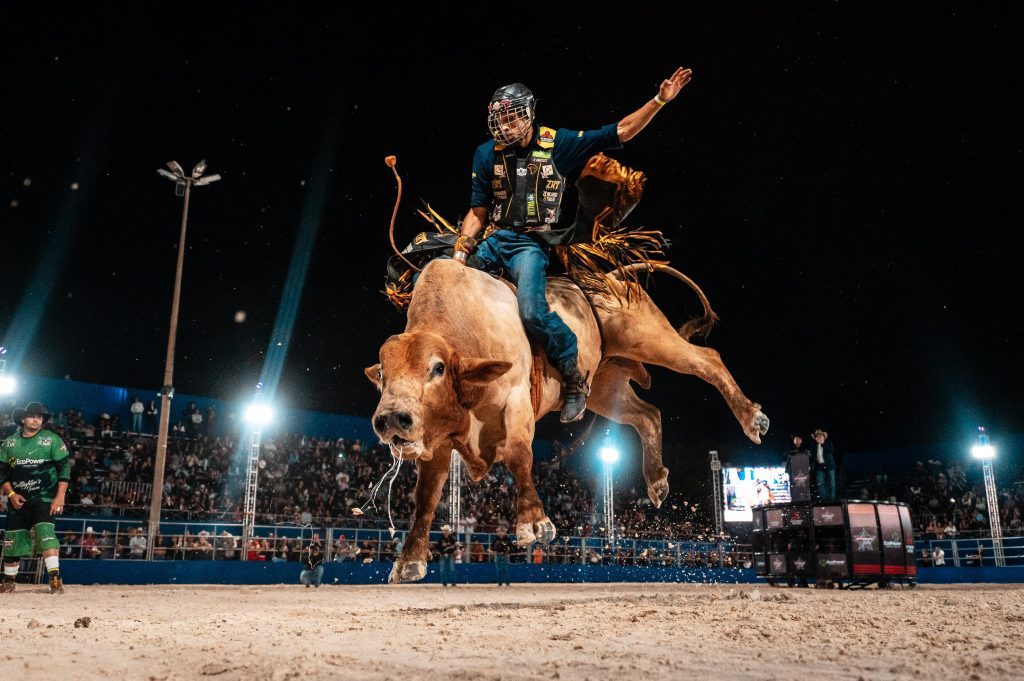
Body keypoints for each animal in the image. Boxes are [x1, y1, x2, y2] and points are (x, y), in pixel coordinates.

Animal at [368, 258, 770, 581]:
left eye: (437, 368)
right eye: (383, 375)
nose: (391, 419)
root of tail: (611, 277)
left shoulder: (517, 400)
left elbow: (518, 454)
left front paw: (534, 523)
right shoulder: (436, 440)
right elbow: (425, 496)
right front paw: (409, 560)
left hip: (650, 338)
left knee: (707, 359)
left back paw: (753, 419)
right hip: (604, 386)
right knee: (647, 415)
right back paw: (656, 480)